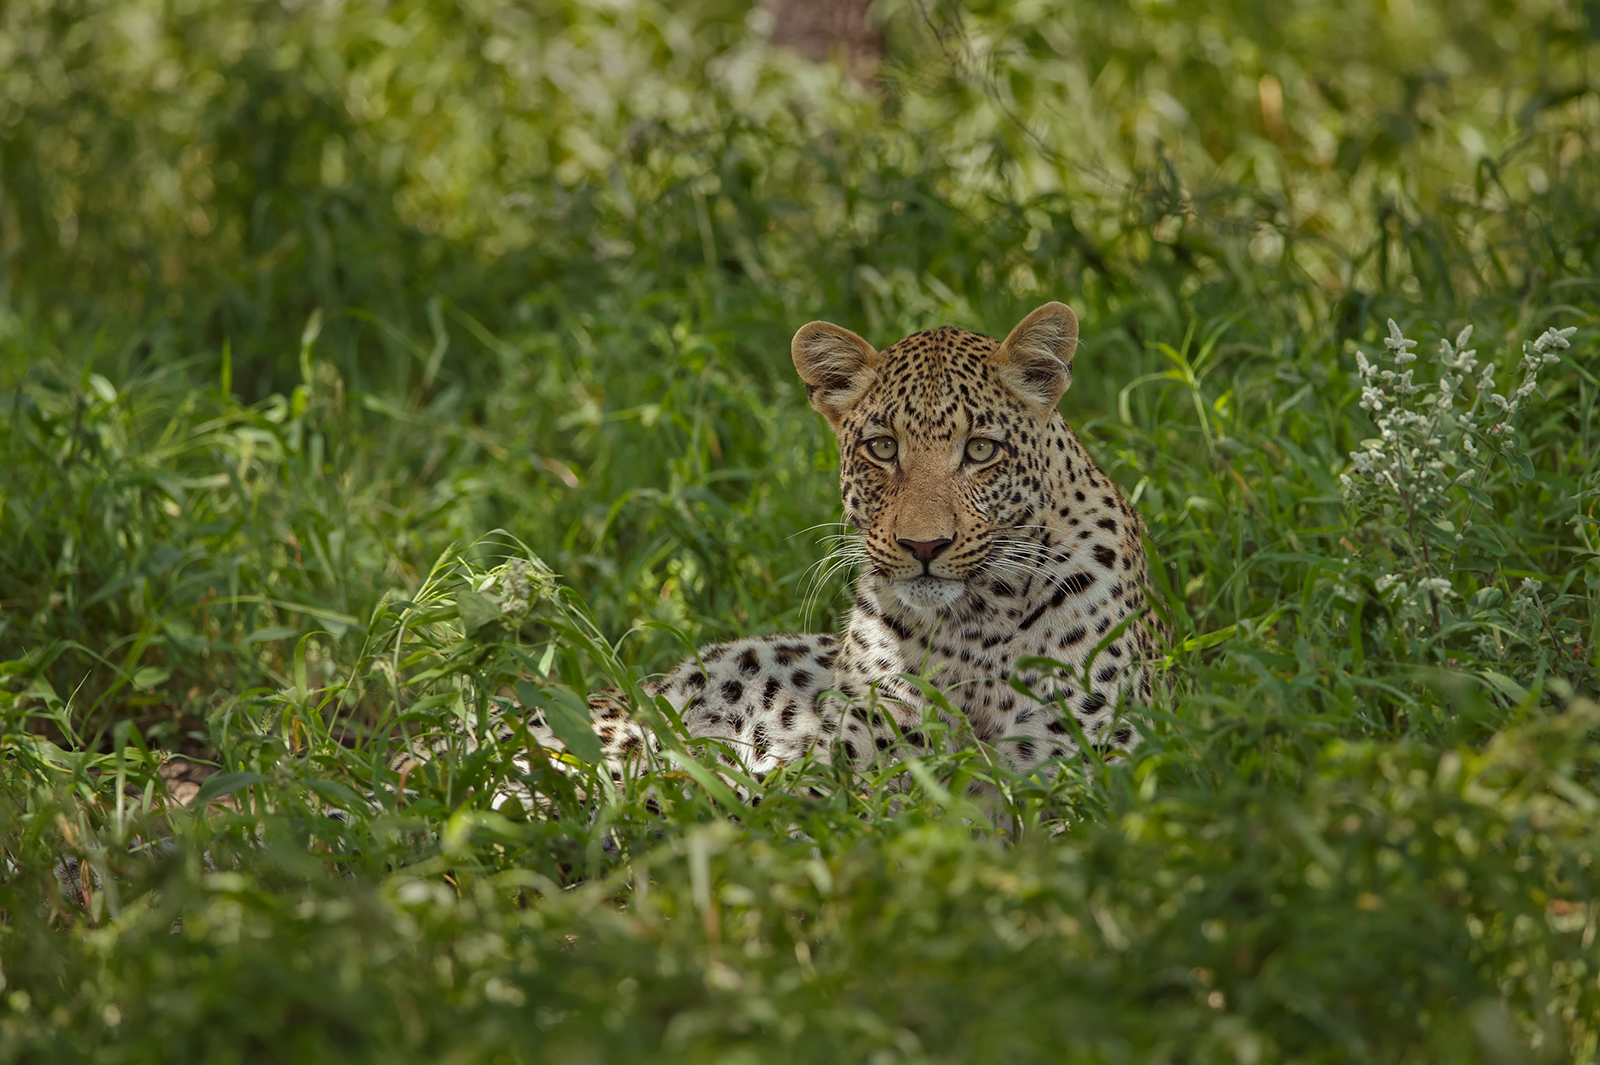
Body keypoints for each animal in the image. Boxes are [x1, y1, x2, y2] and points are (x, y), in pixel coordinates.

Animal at [509, 300, 1167, 791]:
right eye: (883, 447)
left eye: (981, 449)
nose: (924, 545)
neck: (978, 620)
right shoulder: (859, 752)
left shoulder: (1093, 754)